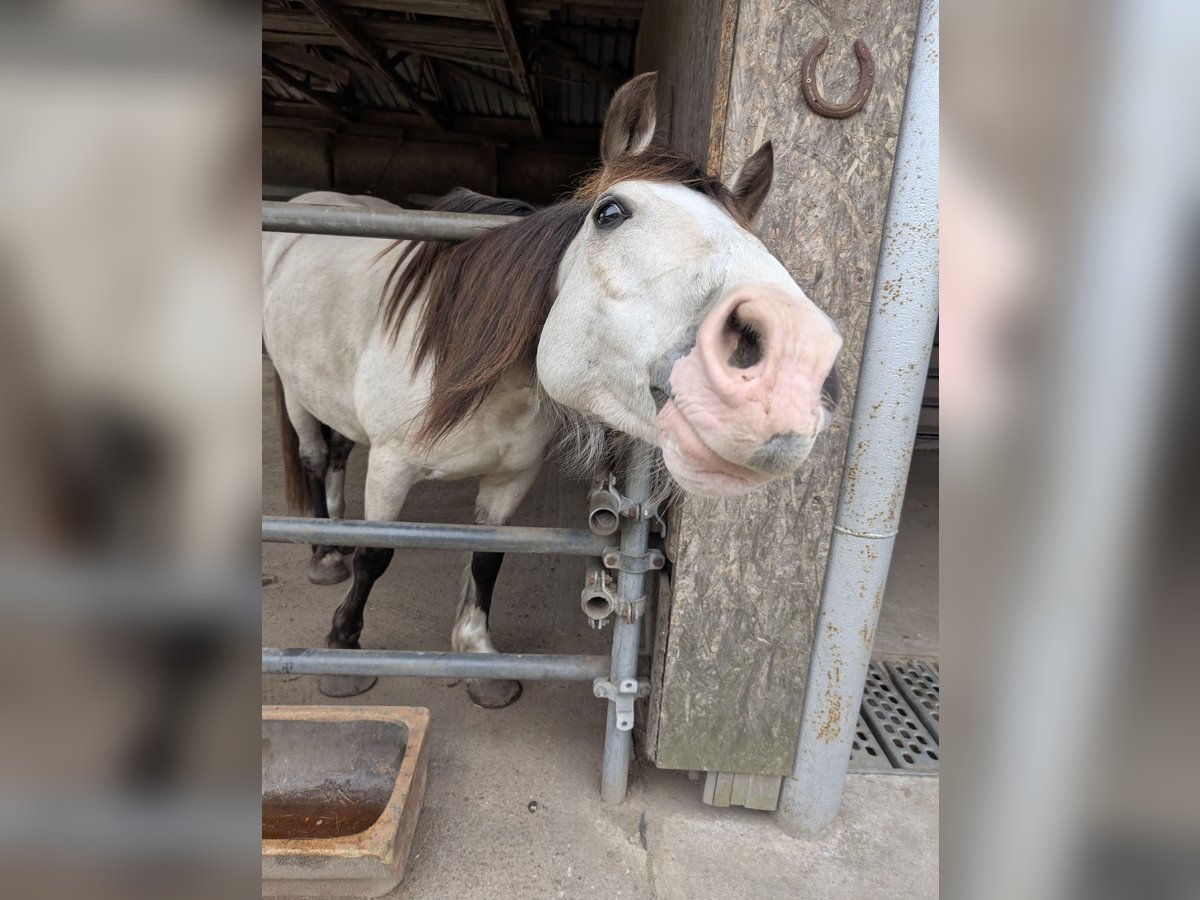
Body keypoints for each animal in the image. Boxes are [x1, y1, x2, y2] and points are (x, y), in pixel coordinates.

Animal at [262, 72, 843, 707]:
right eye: (610, 212)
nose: (793, 366)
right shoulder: (392, 467)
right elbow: (376, 554)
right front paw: (342, 649)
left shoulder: (510, 478)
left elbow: (489, 559)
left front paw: (478, 660)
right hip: (294, 392)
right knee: (315, 458)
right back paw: (325, 553)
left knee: (339, 454)